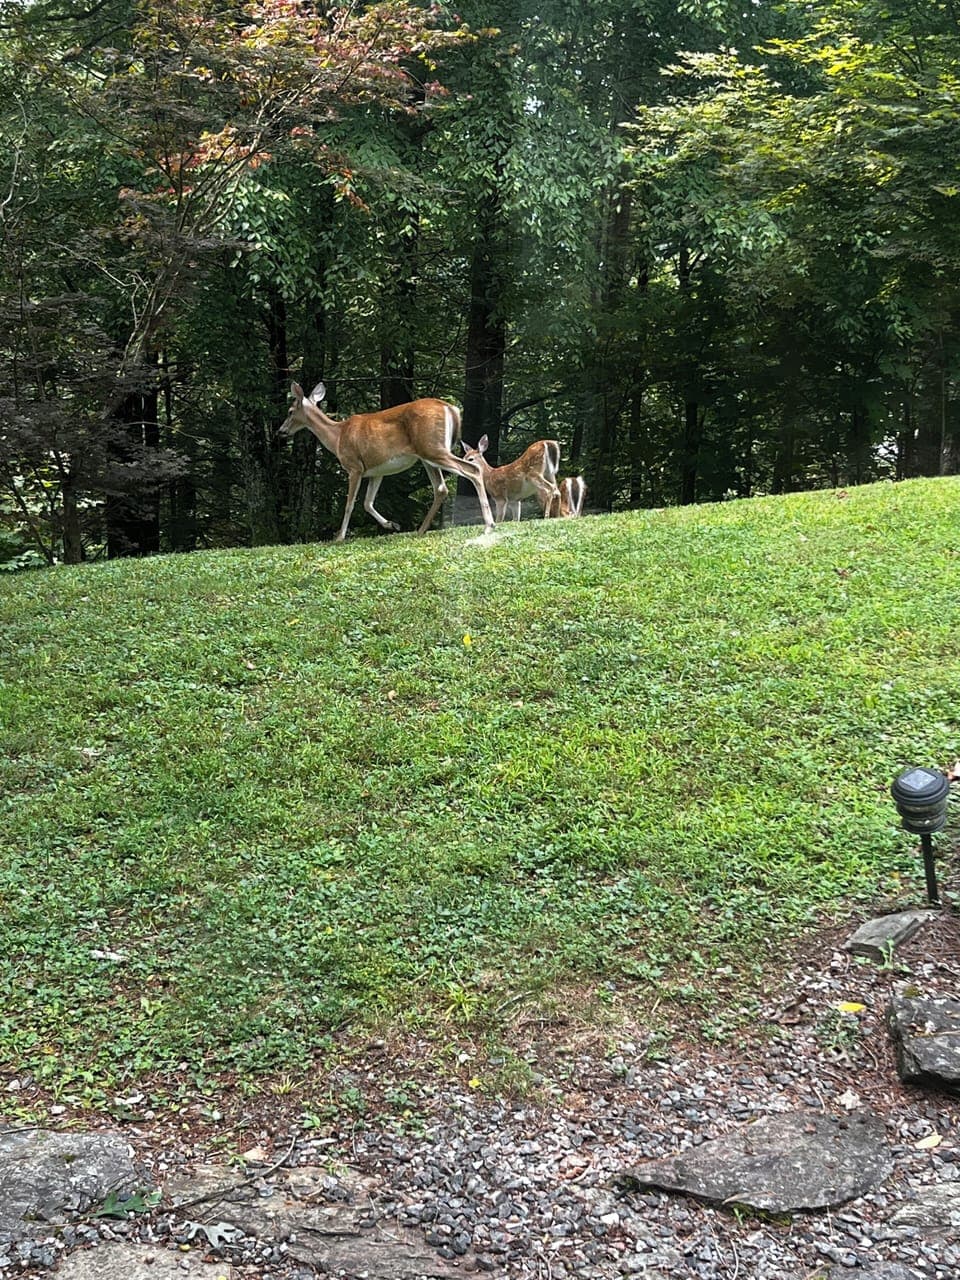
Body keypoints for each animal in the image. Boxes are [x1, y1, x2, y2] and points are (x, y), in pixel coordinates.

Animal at [278, 382, 495, 541]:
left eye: (289, 411)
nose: (281, 431)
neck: (337, 436)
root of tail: (451, 408)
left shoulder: (354, 467)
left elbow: (350, 504)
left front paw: (339, 537)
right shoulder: (377, 471)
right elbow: (367, 503)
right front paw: (392, 524)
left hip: (433, 449)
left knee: (472, 470)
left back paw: (489, 525)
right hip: (427, 455)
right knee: (441, 488)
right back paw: (420, 530)